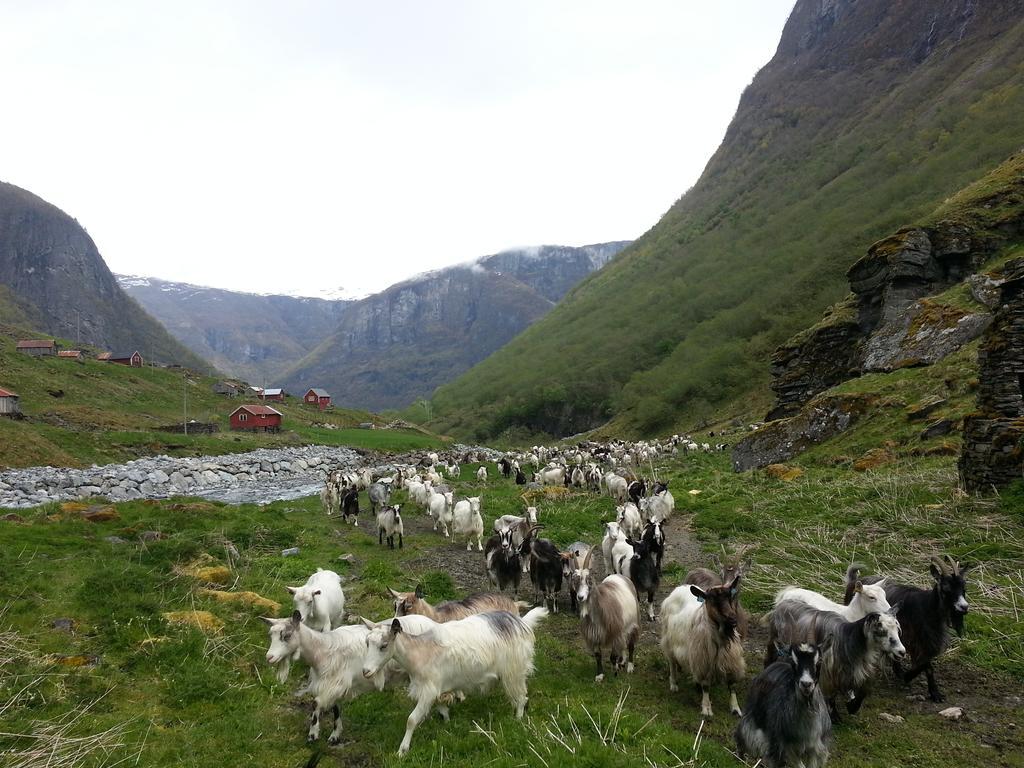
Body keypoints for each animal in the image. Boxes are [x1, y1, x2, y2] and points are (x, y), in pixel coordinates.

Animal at [577, 548, 638, 684]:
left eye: (589, 581)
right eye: (575, 581)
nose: (580, 597)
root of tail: (619, 576)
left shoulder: (615, 633)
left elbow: (612, 656)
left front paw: (615, 671)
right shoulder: (594, 634)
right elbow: (598, 656)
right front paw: (600, 675)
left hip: (633, 624)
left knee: (630, 645)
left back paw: (630, 666)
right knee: (623, 645)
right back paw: (622, 661)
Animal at [737, 638, 831, 768]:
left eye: (819, 661)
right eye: (794, 662)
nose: (806, 684)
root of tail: (779, 662)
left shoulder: (816, 749)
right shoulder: (779, 745)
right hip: (752, 715)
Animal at [770, 602, 905, 720]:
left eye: (897, 630)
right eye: (882, 630)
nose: (902, 652)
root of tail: (784, 603)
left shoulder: (854, 673)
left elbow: (862, 692)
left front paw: (851, 707)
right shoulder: (828, 674)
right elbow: (831, 695)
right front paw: (835, 716)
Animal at [843, 561, 970, 704]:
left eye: (963, 587)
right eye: (946, 587)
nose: (964, 607)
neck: (927, 608)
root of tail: (854, 581)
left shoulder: (927, 643)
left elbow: (926, 664)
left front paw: (934, 692)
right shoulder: (916, 641)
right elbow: (926, 665)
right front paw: (910, 677)